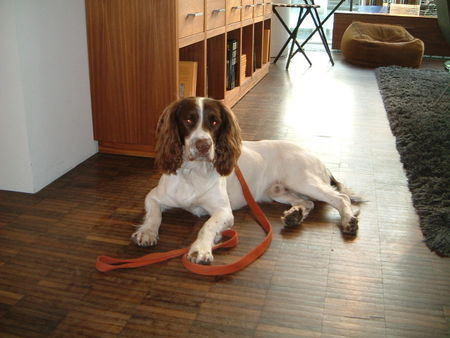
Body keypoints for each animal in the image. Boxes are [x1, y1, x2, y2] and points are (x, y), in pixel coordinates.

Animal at [132, 97, 360, 264]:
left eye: (214, 122)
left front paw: (200, 248)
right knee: (307, 202)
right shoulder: (153, 196)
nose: (203, 146)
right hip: (277, 191)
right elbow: (153, 215)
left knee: (340, 198)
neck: (194, 173)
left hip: (302, 180)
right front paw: (147, 232)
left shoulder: (223, 211)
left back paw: (348, 221)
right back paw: (294, 216)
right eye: (188, 120)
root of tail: (317, 157)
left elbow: (207, 225)